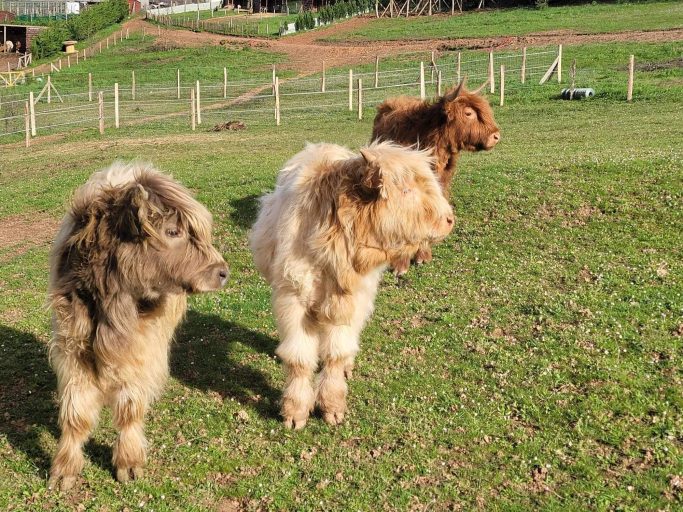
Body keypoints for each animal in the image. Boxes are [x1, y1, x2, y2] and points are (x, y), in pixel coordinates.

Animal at [48, 162, 230, 490]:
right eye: (172, 231)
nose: (223, 272)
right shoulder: (71, 346)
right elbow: (76, 413)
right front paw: (64, 470)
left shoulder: (138, 349)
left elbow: (129, 407)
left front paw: (128, 463)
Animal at [250, 140, 454, 428]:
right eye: (406, 190)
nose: (449, 219)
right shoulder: (292, 298)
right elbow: (299, 358)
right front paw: (295, 413)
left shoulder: (350, 300)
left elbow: (336, 353)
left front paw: (332, 408)